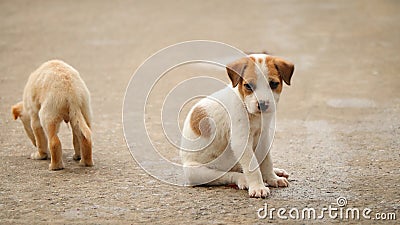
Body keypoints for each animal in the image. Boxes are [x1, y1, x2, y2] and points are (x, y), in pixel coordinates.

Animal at [181, 53, 294, 198]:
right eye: (248, 86)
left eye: (274, 84)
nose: (262, 104)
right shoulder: (241, 142)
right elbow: (253, 168)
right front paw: (258, 187)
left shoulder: (263, 138)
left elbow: (266, 161)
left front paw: (272, 178)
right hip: (197, 172)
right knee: (229, 175)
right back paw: (244, 180)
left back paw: (277, 171)